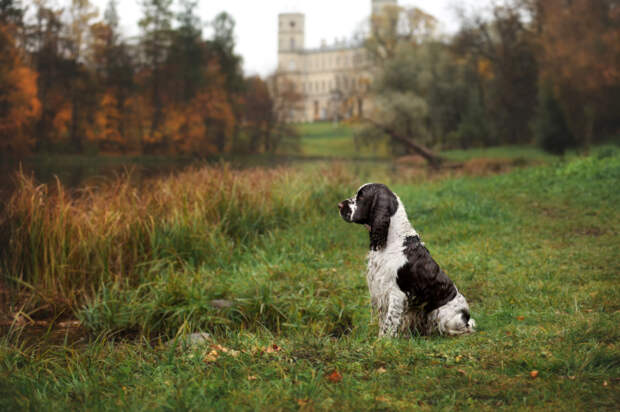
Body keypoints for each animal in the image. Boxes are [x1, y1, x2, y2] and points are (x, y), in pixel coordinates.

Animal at [340, 183, 474, 338]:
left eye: (361, 197)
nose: (339, 205)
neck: (393, 239)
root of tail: (466, 317)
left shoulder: (396, 293)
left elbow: (389, 323)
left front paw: (383, 341)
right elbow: (383, 321)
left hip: (444, 315)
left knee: (464, 328)